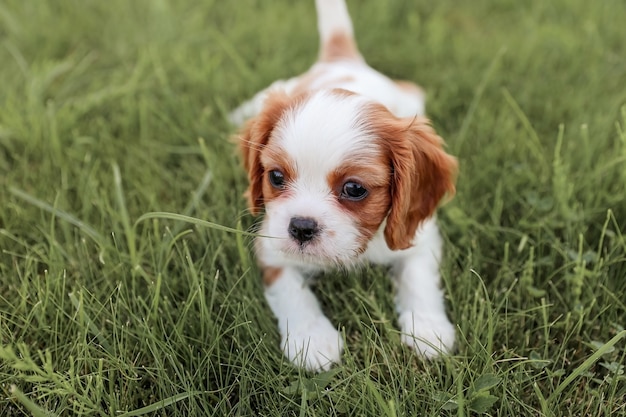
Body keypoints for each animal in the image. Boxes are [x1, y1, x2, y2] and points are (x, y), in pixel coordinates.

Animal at [232, 0, 456, 370]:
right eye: (276, 177)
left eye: (353, 189)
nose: (301, 227)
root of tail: (342, 59)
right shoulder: (270, 243)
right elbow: (291, 289)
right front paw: (312, 339)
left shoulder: (419, 237)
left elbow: (418, 277)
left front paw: (428, 330)